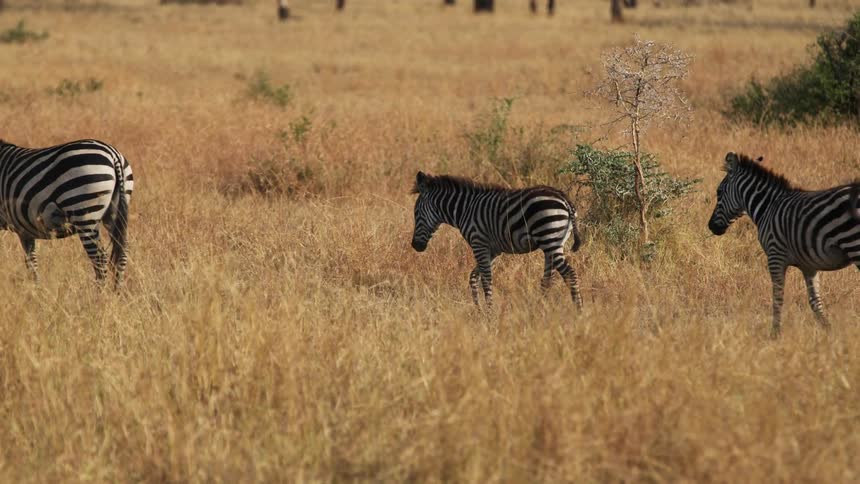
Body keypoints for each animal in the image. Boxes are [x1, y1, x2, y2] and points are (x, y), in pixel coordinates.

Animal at [0, 139, 134, 287]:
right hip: (114, 214)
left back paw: (100, 293)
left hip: (84, 214)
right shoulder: (24, 230)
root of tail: (113, 154)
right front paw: (36, 289)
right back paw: (117, 292)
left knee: (99, 258)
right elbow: (31, 262)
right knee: (122, 254)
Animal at [410, 172, 583, 308]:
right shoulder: (493, 250)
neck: (465, 209)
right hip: (554, 243)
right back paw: (541, 309)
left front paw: (489, 314)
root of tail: (564, 199)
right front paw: (478, 309)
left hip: (549, 238)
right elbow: (473, 277)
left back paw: (578, 311)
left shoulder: (479, 243)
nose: (415, 246)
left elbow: (486, 280)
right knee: (548, 279)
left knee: (570, 274)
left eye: (416, 213)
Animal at [708, 152, 860, 335]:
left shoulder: (775, 256)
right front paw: (828, 331)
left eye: (719, 192)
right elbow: (815, 301)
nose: (711, 227)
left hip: (853, 243)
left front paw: (775, 334)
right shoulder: (809, 265)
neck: (767, 207)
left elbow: (778, 297)